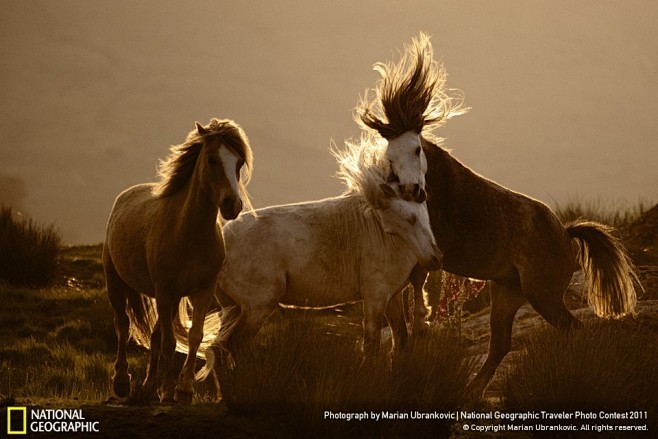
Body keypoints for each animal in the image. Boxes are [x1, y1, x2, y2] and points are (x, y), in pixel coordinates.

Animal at [102, 118, 251, 404]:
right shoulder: (165, 291)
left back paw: (149, 386)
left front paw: (183, 389)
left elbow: (193, 336)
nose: (232, 205)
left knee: (155, 335)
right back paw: (123, 383)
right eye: (212, 159)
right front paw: (170, 390)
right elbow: (169, 343)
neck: (189, 234)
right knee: (123, 326)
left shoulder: (202, 292)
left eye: (239, 163)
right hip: (117, 283)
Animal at [184, 133, 438, 384]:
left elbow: (401, 340)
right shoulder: (375, 297)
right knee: (230, 347)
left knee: (218, 350)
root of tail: (223, 239)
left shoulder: (392, 296)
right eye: (410, 218)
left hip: (231, 307)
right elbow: (372, 346)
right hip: (256, 307)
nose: (435, 259)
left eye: (424, 214)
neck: (384, 234)